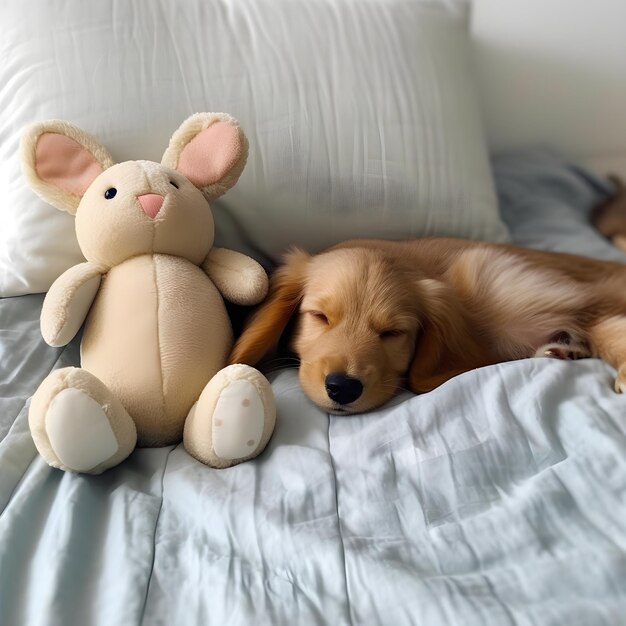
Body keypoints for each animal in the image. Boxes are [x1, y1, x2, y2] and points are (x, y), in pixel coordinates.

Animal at [228, 236, 624, 412]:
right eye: (320, 317)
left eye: (392, 333)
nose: (342, 387)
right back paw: (563, 350)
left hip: (498, 277)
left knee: (601, 321)